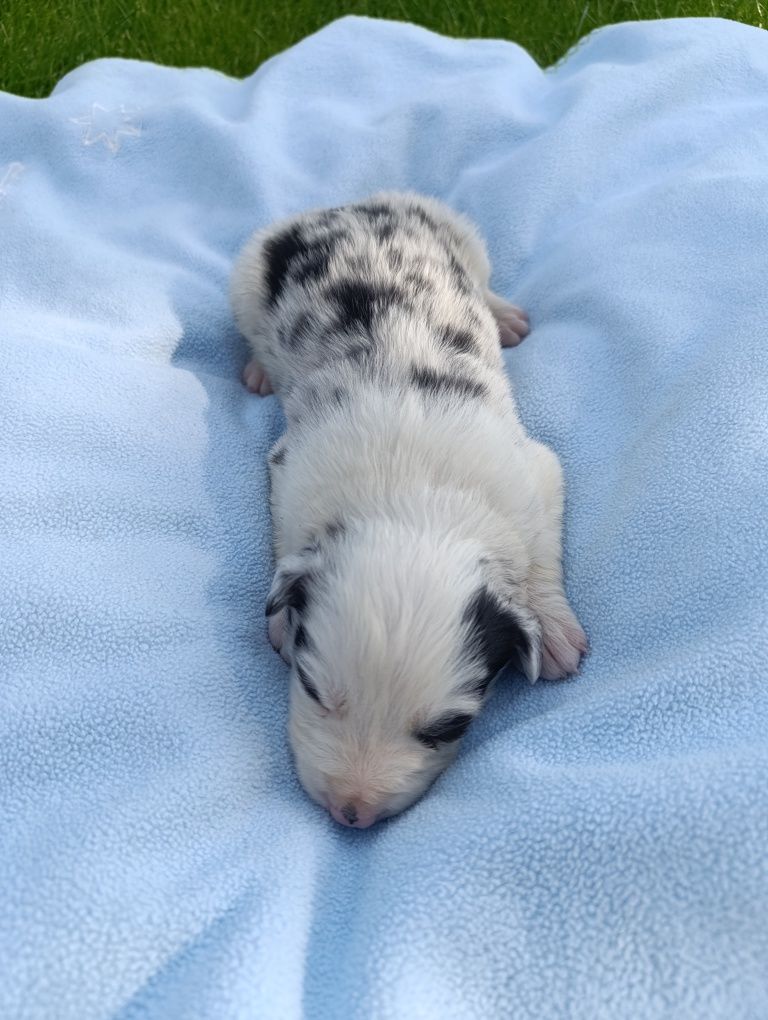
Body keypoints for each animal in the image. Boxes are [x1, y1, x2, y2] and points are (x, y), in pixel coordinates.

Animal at [230, 191, 583, 828]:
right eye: (312, 688)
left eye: (449, 728)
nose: (351, 811)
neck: (417, 502)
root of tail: (348, 207)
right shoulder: (289, 469)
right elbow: (285, 542)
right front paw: (277, 619)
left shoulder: (534, 472)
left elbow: (542, 549)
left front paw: (553, 627)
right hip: (246, 278)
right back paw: (259, 366)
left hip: (461, 235)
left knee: (484, 280)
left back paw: (505, 316)